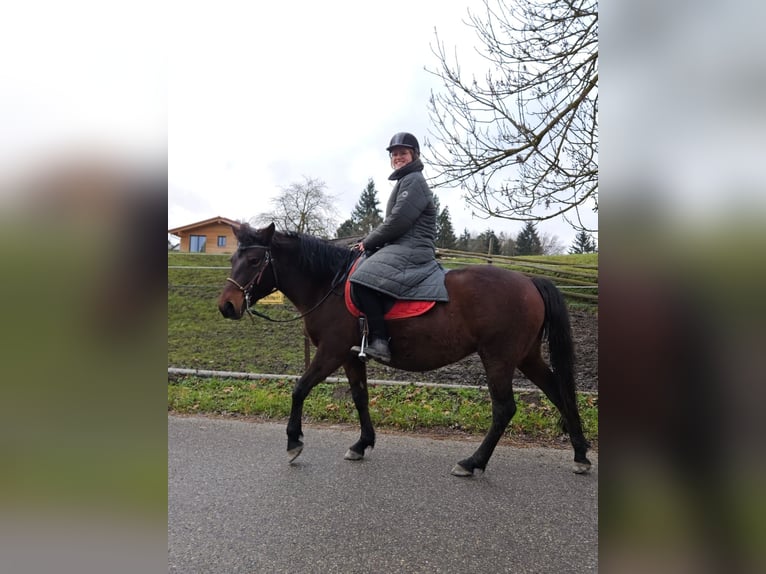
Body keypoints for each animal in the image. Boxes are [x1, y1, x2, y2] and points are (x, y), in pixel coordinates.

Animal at [219, 223, 592, 480]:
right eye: (234, 257)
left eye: (254, 259)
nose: (227, 306)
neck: (330, 284)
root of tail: (529, 280)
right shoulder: (350, 355)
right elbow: (360, 397)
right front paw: (361, 444)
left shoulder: (331, 351)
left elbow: (299, 389)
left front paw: (294, 442)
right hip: (526, 356)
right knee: (558, 392)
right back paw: (580, 454)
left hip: (498, 358)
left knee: (504, 409)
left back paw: (472, 463)